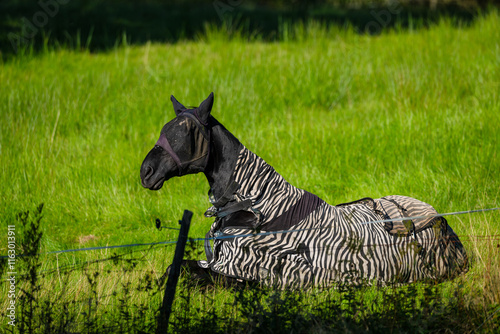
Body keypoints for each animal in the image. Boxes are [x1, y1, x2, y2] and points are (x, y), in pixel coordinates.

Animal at [141, 92, 468, 288]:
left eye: (186, 132)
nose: (146, 172)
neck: (256, 205)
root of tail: (443, 223)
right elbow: (175, 268)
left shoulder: (251, 275)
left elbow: (187, 271)